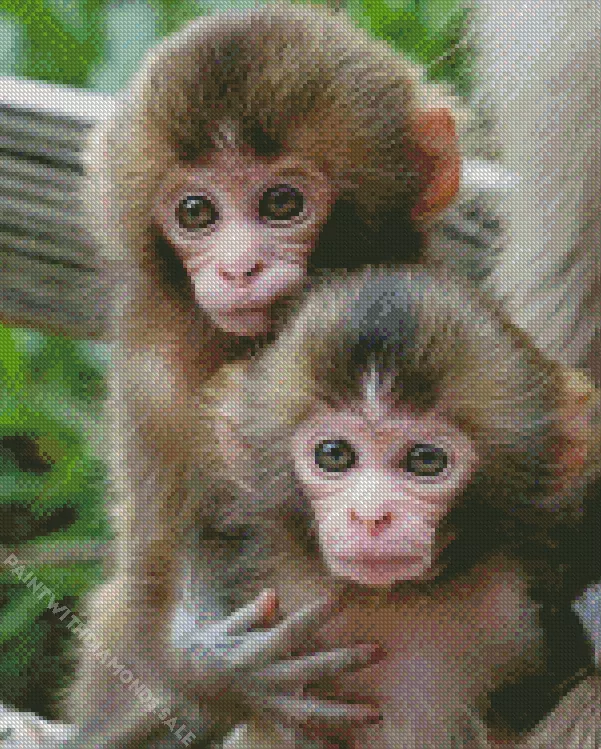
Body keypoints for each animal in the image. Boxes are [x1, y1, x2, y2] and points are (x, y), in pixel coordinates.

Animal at [65, 3, 465, 745]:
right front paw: (224, 671)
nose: (237, 268)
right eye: (196, 212)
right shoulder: (153, 367)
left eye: (281, 203)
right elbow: (150, 590)